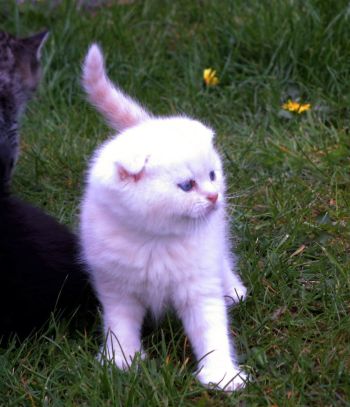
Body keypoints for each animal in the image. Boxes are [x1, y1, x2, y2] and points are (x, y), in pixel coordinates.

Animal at [80, 44, 247, 392]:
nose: (214, 196)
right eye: (186, 185)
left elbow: (211, 330)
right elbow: (120, 325)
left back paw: (233, 290)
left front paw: (221, 376)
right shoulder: (117, 288)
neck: (155, 241)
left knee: (222, 258)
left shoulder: (198, 283)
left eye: (213, 175)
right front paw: (121, 361)